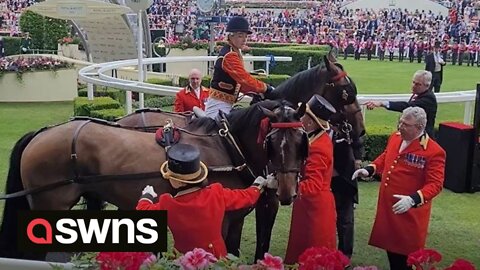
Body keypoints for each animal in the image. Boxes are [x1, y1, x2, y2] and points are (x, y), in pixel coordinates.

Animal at [0, 99, 308, 260]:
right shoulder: (218, 220)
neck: (229, 148)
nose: (286, 192)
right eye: (272, 141)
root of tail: (40, 133)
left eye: (300, 140)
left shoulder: (235, 219)